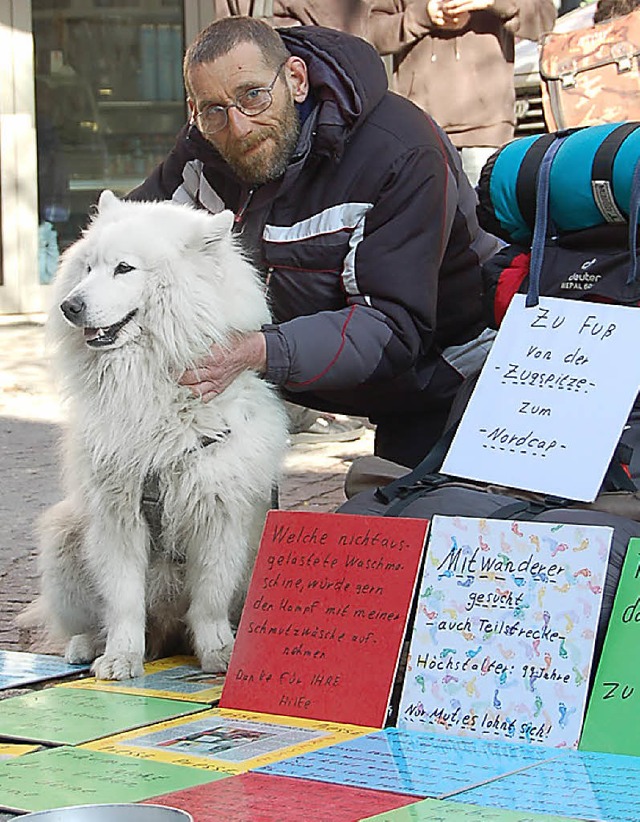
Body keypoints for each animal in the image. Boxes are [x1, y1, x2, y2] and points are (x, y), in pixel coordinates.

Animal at [27, 193, 288, 684]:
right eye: (87, 267)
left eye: (124, 268)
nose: (69, 306)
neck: (150, 384)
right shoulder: (117, 512)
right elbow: (123, 601)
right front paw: (121, 658)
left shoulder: (221, 512)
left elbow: (210, 599)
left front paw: (219, 654)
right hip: (63, 536)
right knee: (87, 619)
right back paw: (87, 646)